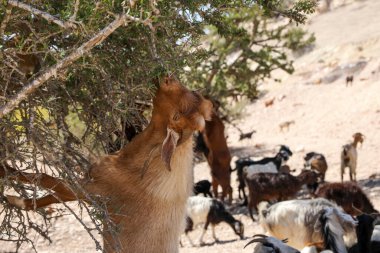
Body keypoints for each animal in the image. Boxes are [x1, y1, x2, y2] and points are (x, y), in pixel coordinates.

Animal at [0, 76, 214, 253]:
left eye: (176, 116)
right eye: (194, 92)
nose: (169, 79)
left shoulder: (91, 189)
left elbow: (46, 180)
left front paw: (7, 176)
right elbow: (51, 197)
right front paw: (19, 200)